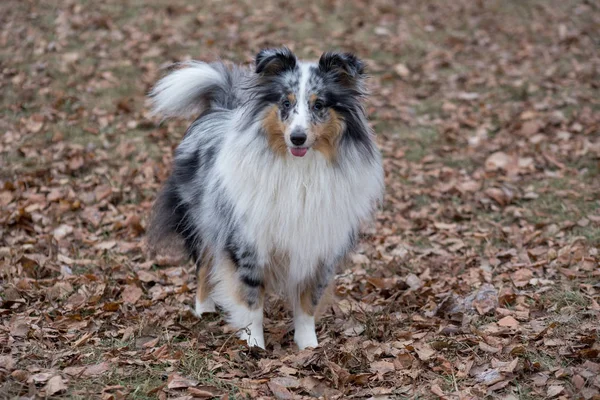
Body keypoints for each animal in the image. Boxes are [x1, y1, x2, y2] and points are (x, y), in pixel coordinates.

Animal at [149, 47, 384, 350]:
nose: (297, 138)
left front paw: (309, 346)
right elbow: (251, 301)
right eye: (285, 103)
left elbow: (308, 302)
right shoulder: (247, 242)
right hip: (202, 221)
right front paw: (254, 346)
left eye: (319, 105)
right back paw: (204, 309)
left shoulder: (319, 245)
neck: (300, 171)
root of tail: (219, 109)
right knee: (204, 263)